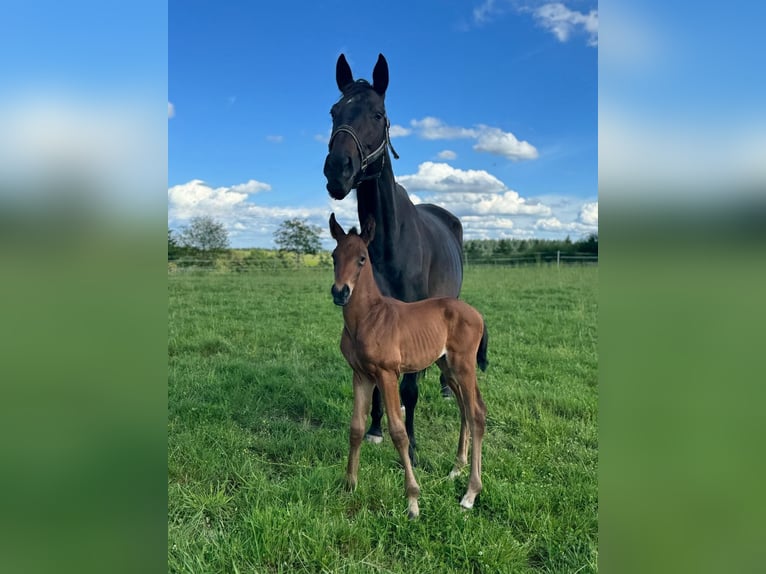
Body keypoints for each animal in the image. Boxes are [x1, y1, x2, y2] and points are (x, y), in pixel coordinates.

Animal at [322, 54, 462, 466]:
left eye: (378, 114)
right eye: (334, 111)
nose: (337, 169)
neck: (388, 242)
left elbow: (409, 389)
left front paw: (411, 446)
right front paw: (374, 428)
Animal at [332, 214, 492, 520]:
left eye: (361, 258)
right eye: (334, 256)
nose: (340, 293)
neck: (368, 317)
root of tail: (477, 314)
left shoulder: (387, 375)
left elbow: (399, 432)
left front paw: (413, 501)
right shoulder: (361, 375)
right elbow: (356, 427)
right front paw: (349, 485)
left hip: (464, 366)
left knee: (477, 412)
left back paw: (470, 493)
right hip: (446, 366)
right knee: (465, 409)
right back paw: (456, 469)